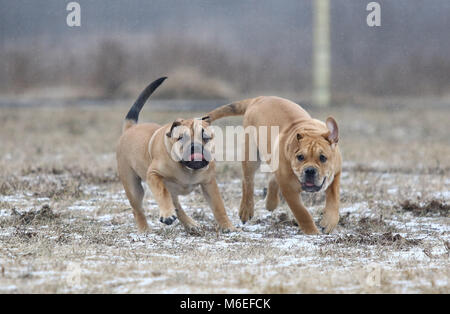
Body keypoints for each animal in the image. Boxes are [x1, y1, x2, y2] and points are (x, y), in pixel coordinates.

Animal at [116, 76, 234, 233]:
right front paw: (166, 214)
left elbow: (218, 206)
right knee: (138, 209)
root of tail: (130, 128)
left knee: (177, 207)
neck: (188, 170)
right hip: (133, 186)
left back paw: (190, 224)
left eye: (205, 137)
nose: (195, 147)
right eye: (181, 138)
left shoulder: (209, 183)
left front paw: (228, 226)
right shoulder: (153, 175)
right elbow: (162, 193)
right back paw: (145, 230)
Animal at [204, 97, 342, 234]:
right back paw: (246, 210)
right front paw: (312, 232)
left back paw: (270, 203)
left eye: (323, 157)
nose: (310, 170)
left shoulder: (336, 173)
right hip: (251, 155)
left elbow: (334, 198)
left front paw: (329, 221)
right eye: (300, 157)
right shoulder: (289, 189)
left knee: (271, 178)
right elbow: (302, 212)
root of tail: (259, 98)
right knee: (248, 181)